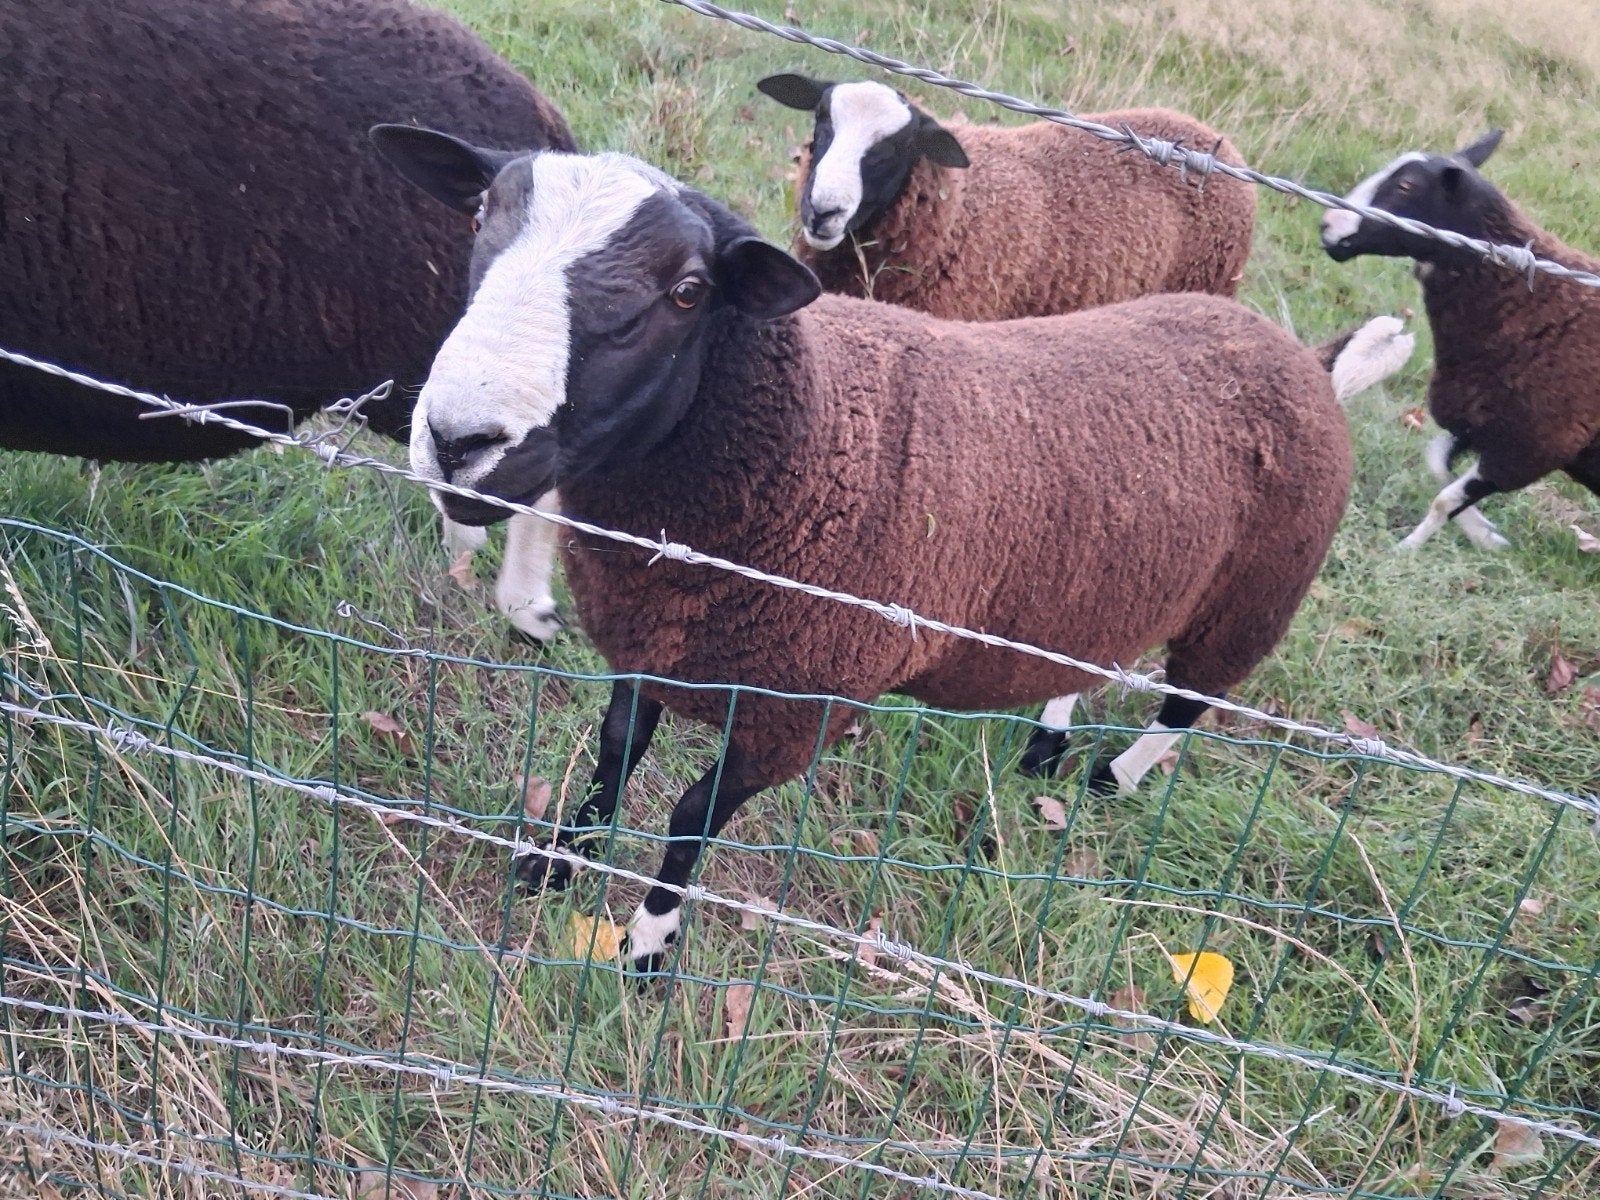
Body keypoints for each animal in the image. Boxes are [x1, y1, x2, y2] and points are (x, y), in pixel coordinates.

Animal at [372, 132, 1406, 969]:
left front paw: (648, 950)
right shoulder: (646, 642)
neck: (809, 436)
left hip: (1255, 598)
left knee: (1190, 703)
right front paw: (558, 861)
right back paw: (1047, 745)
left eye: (687, 291)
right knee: (1098, 656)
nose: (459, 440)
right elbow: (615, 755)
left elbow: (691, 817)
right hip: (1118, 582)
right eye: (479, 214)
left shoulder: (803, 709)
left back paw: (1109, 778)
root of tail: (1302, 358)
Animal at [1322, 130, 1600, 552]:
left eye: (1406, 186)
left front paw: (1406, 551)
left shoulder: (1529, 449)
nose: (1327, 226)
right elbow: (1438, 464)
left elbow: (1444, 498)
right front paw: (1487, 534)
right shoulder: (1477, 426)